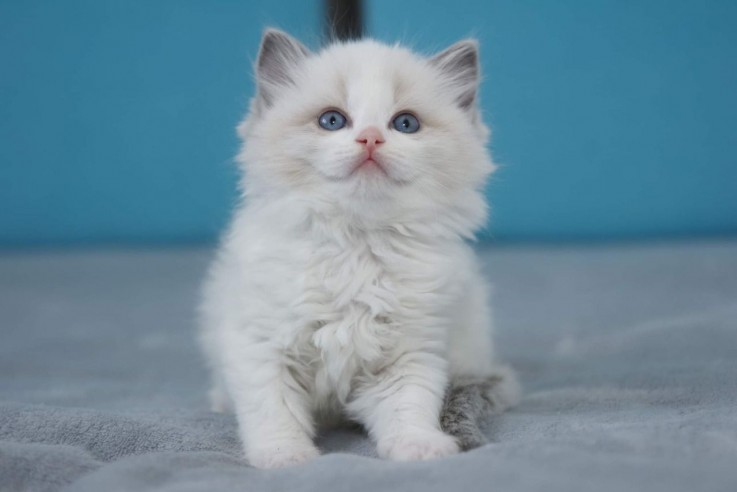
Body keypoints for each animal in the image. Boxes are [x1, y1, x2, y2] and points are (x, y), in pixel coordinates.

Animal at [197, 27, 516, 468]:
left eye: (405, 124)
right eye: (332, 120)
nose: (371, 138)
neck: (355, 244)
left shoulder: (411, 354)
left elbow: (409, 408)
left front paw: (420, 447)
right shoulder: (260, 345)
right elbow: (273, 411)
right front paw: (285, 456)